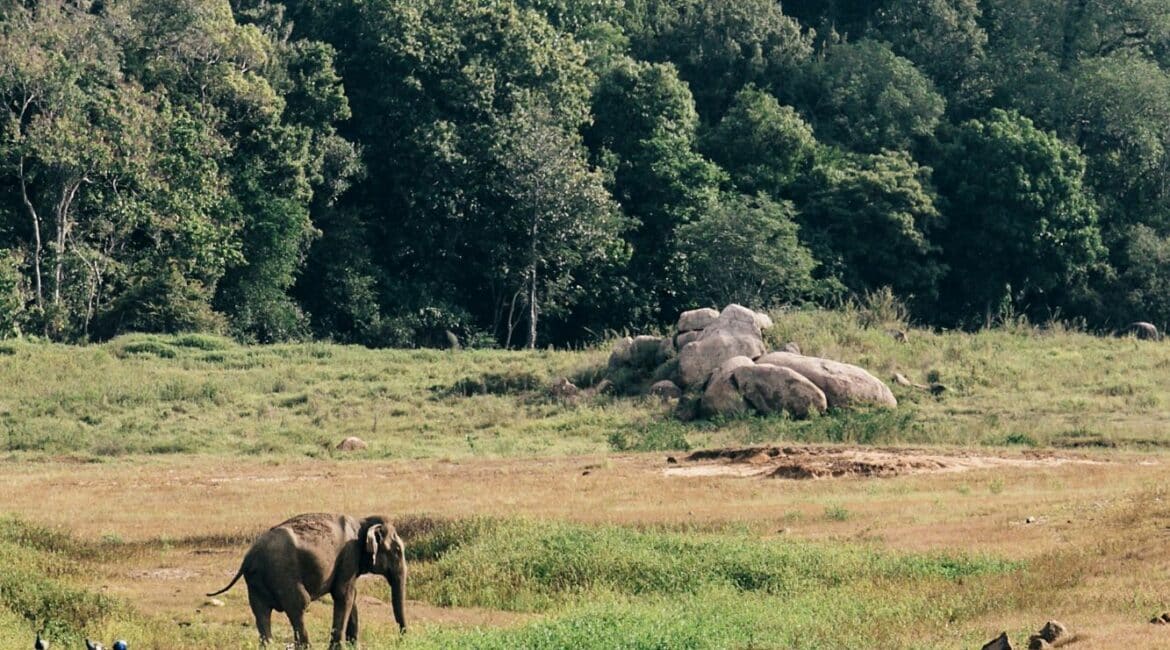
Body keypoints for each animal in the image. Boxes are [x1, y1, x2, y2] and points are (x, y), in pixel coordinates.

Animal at [207, 513, 406, 648]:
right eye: (397, 551)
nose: (402, 639)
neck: (363, 522)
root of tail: (248, 557)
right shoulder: (349, 556)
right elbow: (344, 595)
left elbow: (351, 596)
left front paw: (353, 646)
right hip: (283, 574)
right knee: (299, 605)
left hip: (256, 582)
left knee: (261, 612)